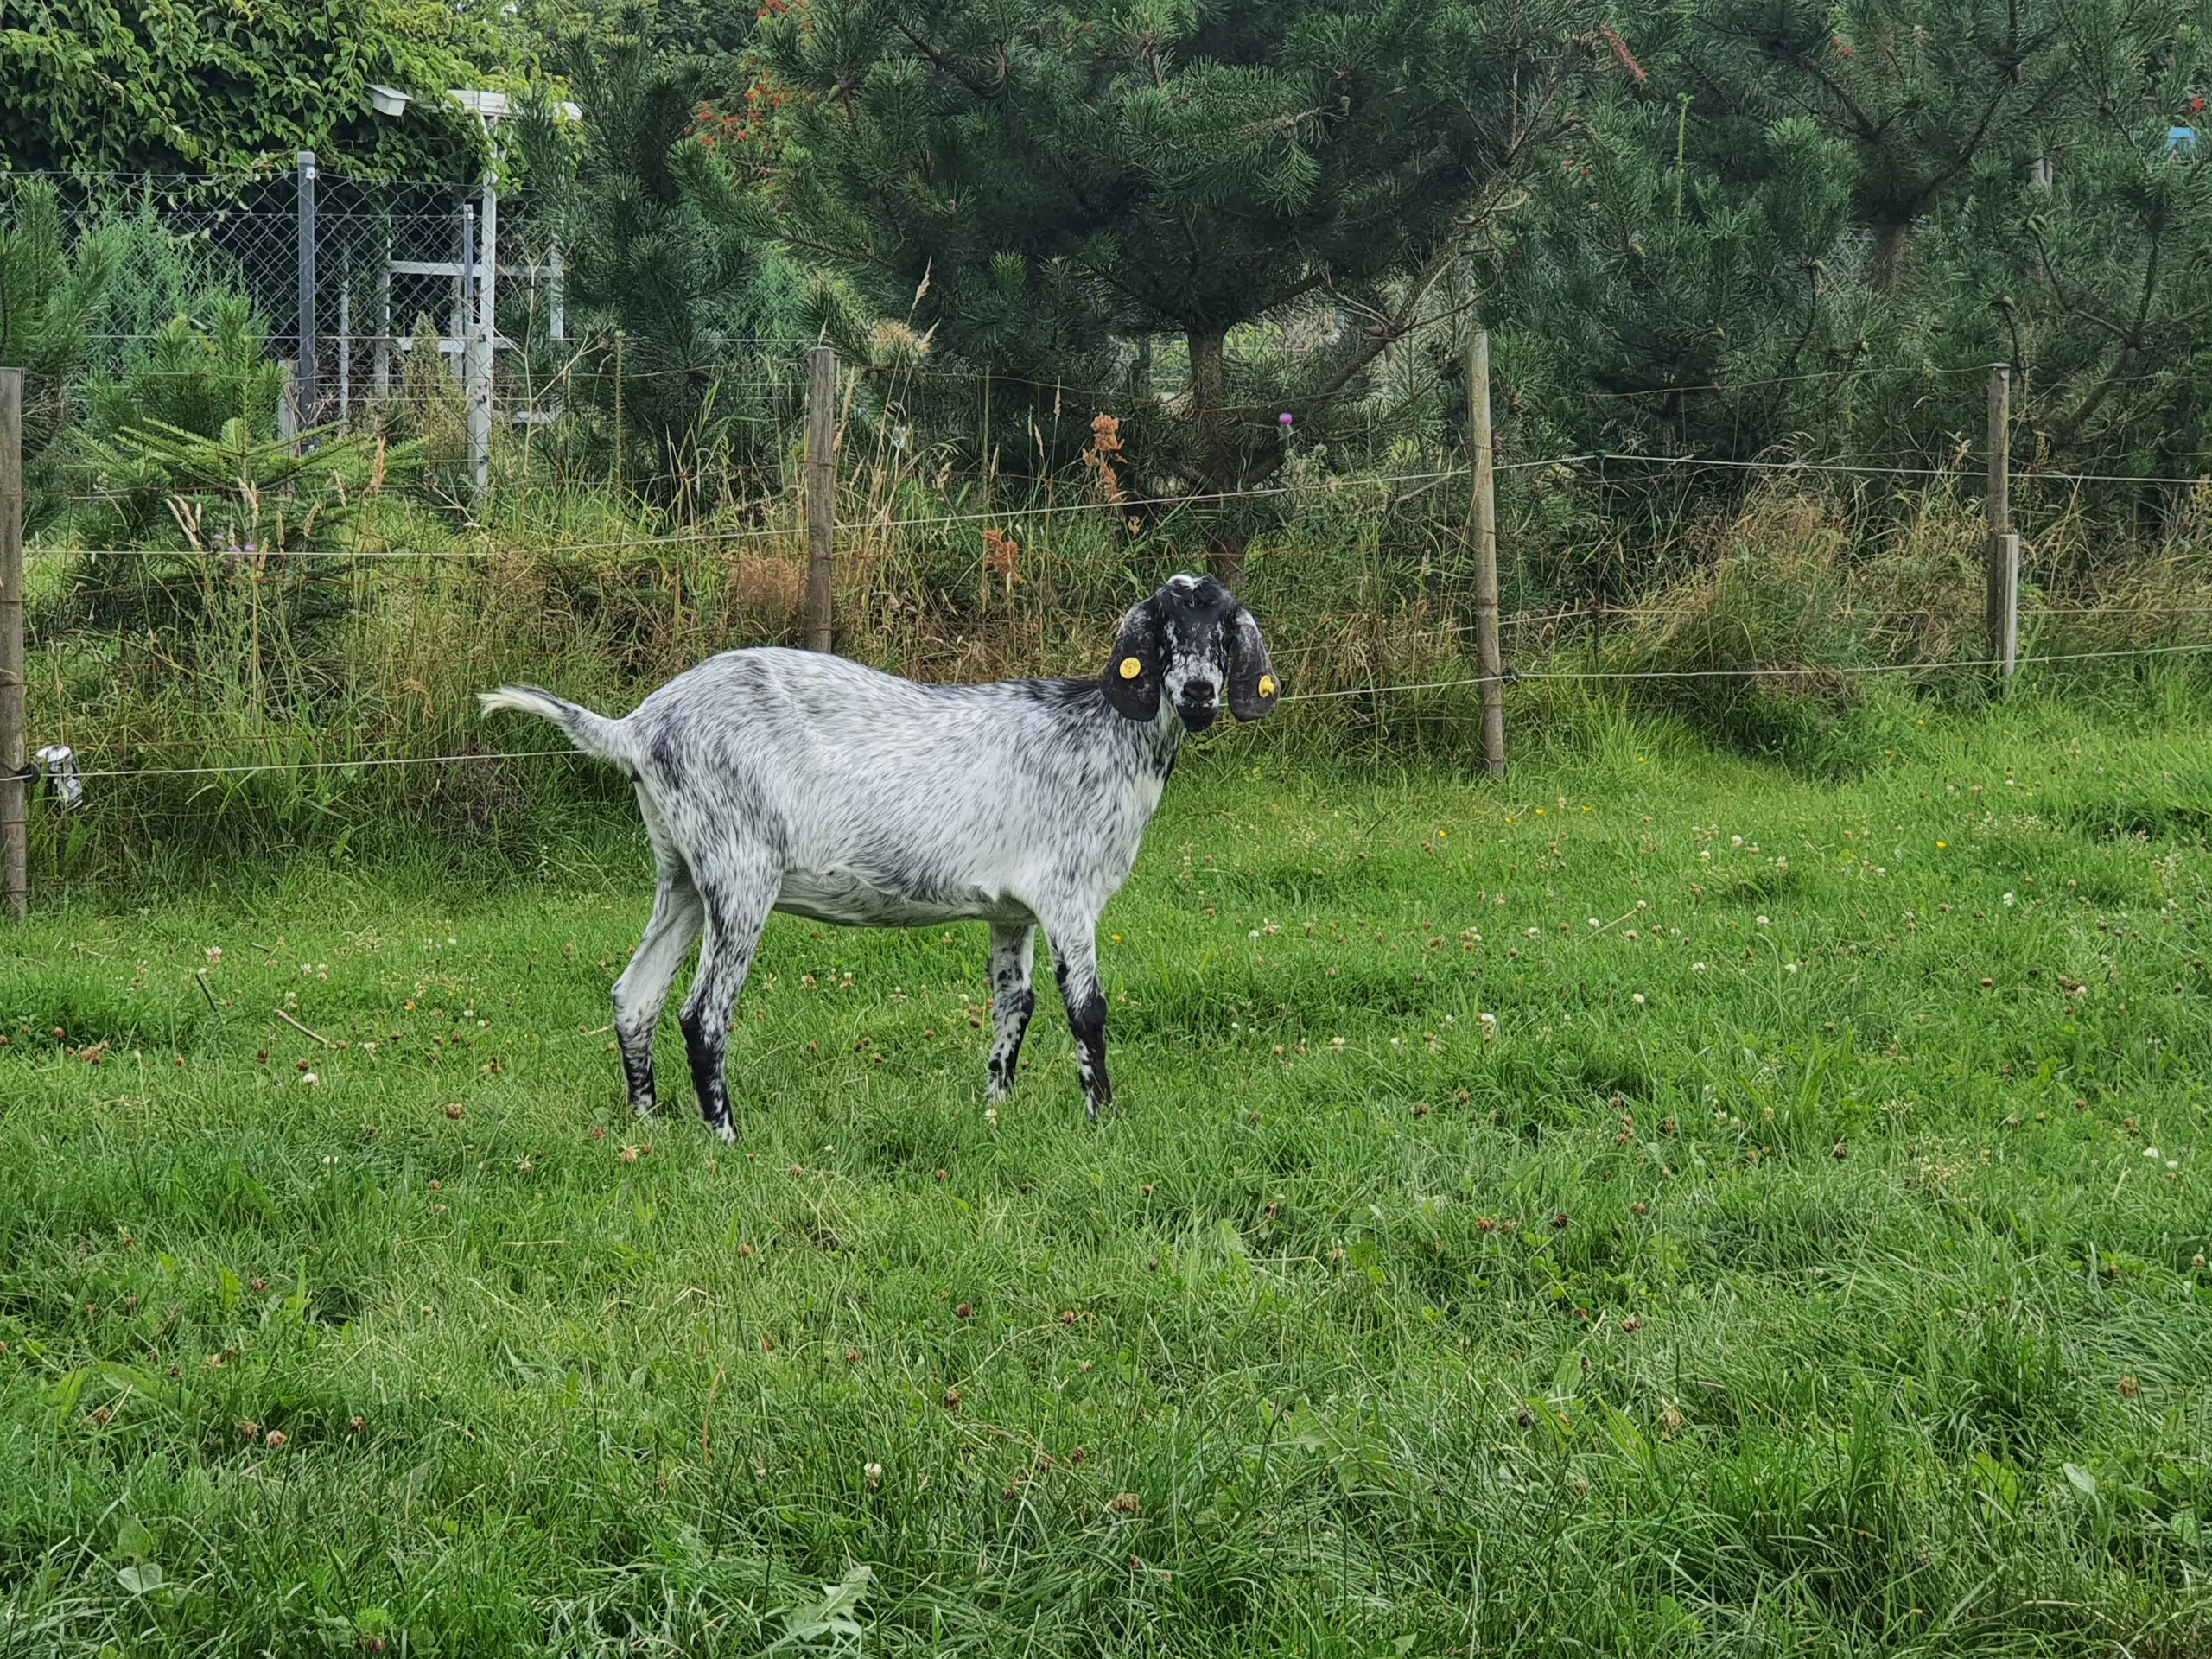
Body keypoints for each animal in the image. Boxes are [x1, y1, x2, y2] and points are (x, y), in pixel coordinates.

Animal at [484, 575, 1282, 1141]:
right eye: (1163, 628)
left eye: (1224, 627)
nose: (1200, 691)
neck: (1104, 733)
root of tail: (639, 726)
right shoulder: (1067, 895)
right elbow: (1086, 1010)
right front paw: (1102, 1122)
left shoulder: (1013, 911)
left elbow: (1013, 1004)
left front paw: (996, 1109)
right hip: (740, 871)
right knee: (702, 1014)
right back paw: (726, 1139)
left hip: (681, 873)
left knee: (636, 996)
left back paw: (646, 1124)